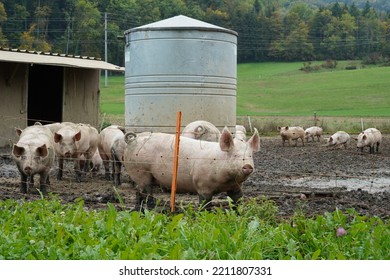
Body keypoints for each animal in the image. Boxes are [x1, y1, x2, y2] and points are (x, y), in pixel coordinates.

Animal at [123, 126, 260, 209]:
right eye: (235, 155)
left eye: (250, 155)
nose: (247, 166)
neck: (227, 181)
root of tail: (133, 140)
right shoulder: (202, 184)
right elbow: (205, 204)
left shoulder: (235, 187)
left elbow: (237, 201)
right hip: (140, 171)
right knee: (145, 192)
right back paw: (150, 209)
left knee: (139, 192)